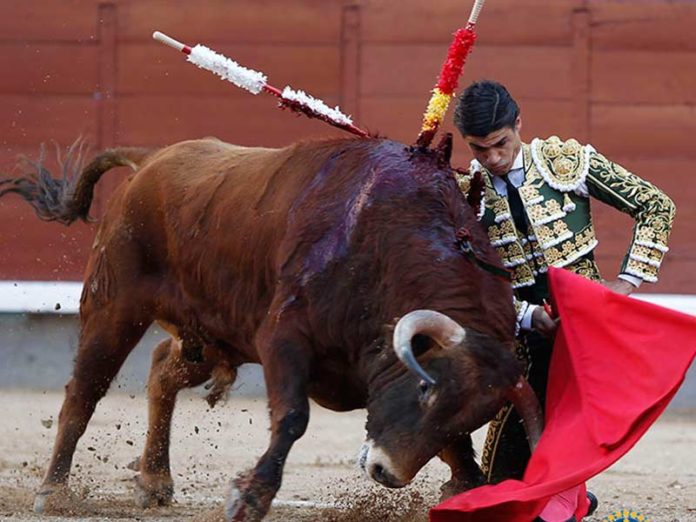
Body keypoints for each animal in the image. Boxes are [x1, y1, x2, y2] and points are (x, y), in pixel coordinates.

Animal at [0, 136, 540, 516]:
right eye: (426, 390)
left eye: (473, 416)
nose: (386, 472)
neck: (390, 246)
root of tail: (151, 159)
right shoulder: (283, 337)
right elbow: (293, 416)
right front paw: (251, 497)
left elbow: (457, 449)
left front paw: (469, 490)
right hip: (114, 304)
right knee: (84, 391)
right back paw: (54, 491)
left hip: (207, 334)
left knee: (160, 370)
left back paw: (154, 481)